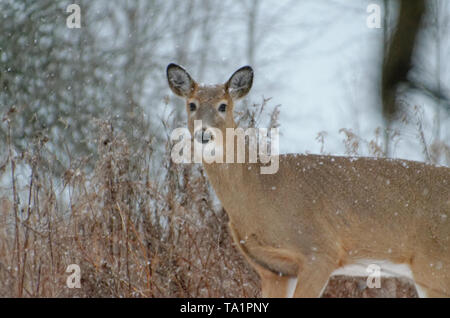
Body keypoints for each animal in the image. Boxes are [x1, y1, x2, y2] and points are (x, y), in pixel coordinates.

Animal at [167, 62, 450, 298]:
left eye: (223, 106)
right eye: (191, 104)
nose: (204, 134)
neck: (259, 190)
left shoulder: (319, 250)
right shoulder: (273, 269)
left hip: (434, 267)